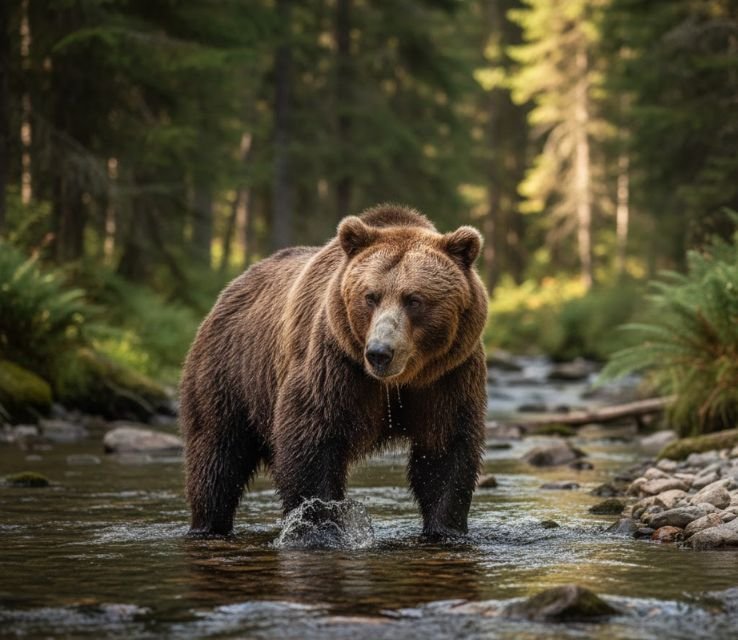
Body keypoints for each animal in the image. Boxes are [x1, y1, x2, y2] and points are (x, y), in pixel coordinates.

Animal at [180, 204, 488, 540]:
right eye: (370, 296)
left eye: (414, 299)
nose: (380, 352)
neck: (397, 382)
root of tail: (231, 288)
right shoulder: (334, 364)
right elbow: (312, 442)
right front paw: (318, 526)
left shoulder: (446, 376)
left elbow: (444, 449)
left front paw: (445, 528)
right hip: (231, 373)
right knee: (217, 457)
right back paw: (208, 525)